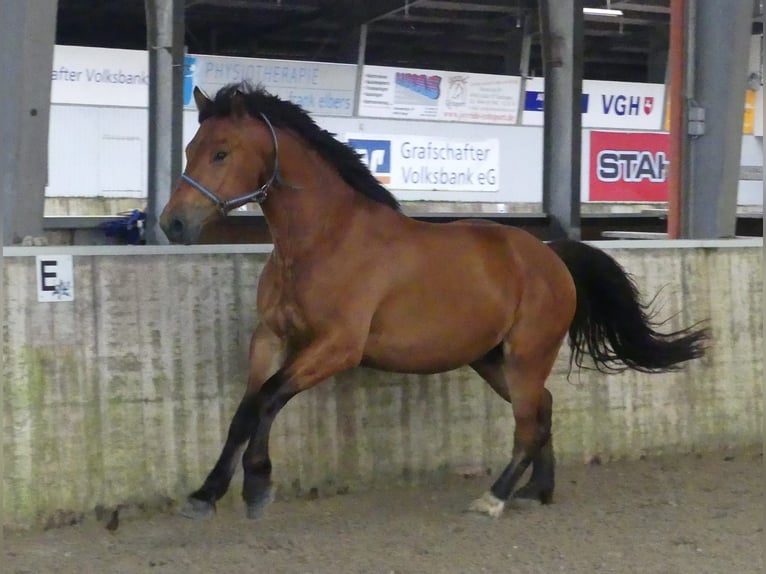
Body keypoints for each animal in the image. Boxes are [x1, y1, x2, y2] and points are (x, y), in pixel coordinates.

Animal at [159, 84, 712, 520]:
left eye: (221, 153)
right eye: (191, 148)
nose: (173, 224)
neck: (325, 239)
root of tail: (550, 255)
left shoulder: (338, 347)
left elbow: (270, 399)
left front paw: (257, 486)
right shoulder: (270, 338)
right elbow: (246, 409)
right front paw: (206, 494)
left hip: (526, 355)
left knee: (528, 423)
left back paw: (495, 497)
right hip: (491, 360)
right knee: (543, 410)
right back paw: (538, 490)